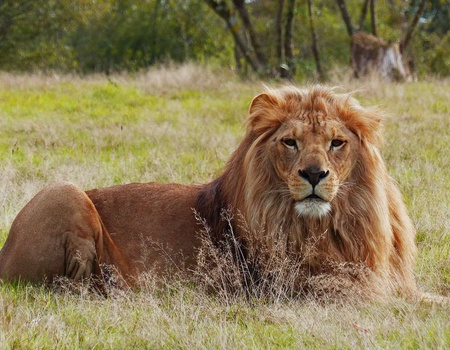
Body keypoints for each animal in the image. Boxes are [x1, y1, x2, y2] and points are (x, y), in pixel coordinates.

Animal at [0, 85, 416, 298]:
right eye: (290, 142)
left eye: (336, 143)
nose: (314, 174)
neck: (330, 226)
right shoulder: (310, 291)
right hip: (63, 191)